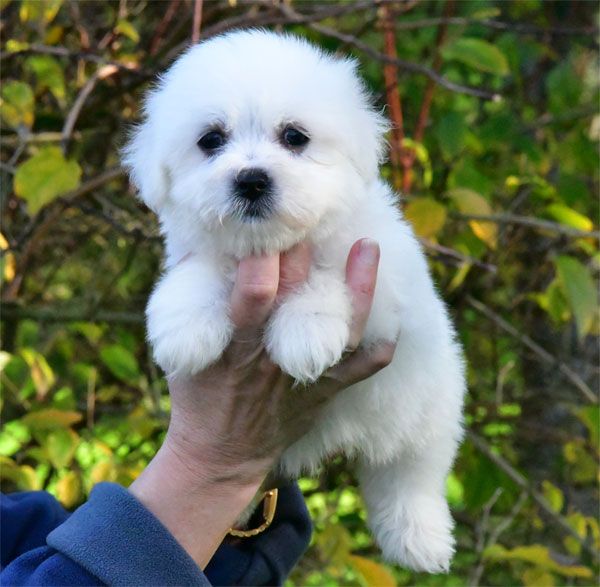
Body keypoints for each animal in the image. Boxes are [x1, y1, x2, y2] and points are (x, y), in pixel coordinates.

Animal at [124, 28, 466, 576]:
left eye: (295, 137)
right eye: (211, 140)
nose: (252, 179)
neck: (273, 247)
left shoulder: (384, 284)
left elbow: (327, 279)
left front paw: (304, 334)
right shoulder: (202, 251)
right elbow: (200, 272)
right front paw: (185, 328)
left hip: (429, 404)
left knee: (412, 473)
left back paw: (420, 539)